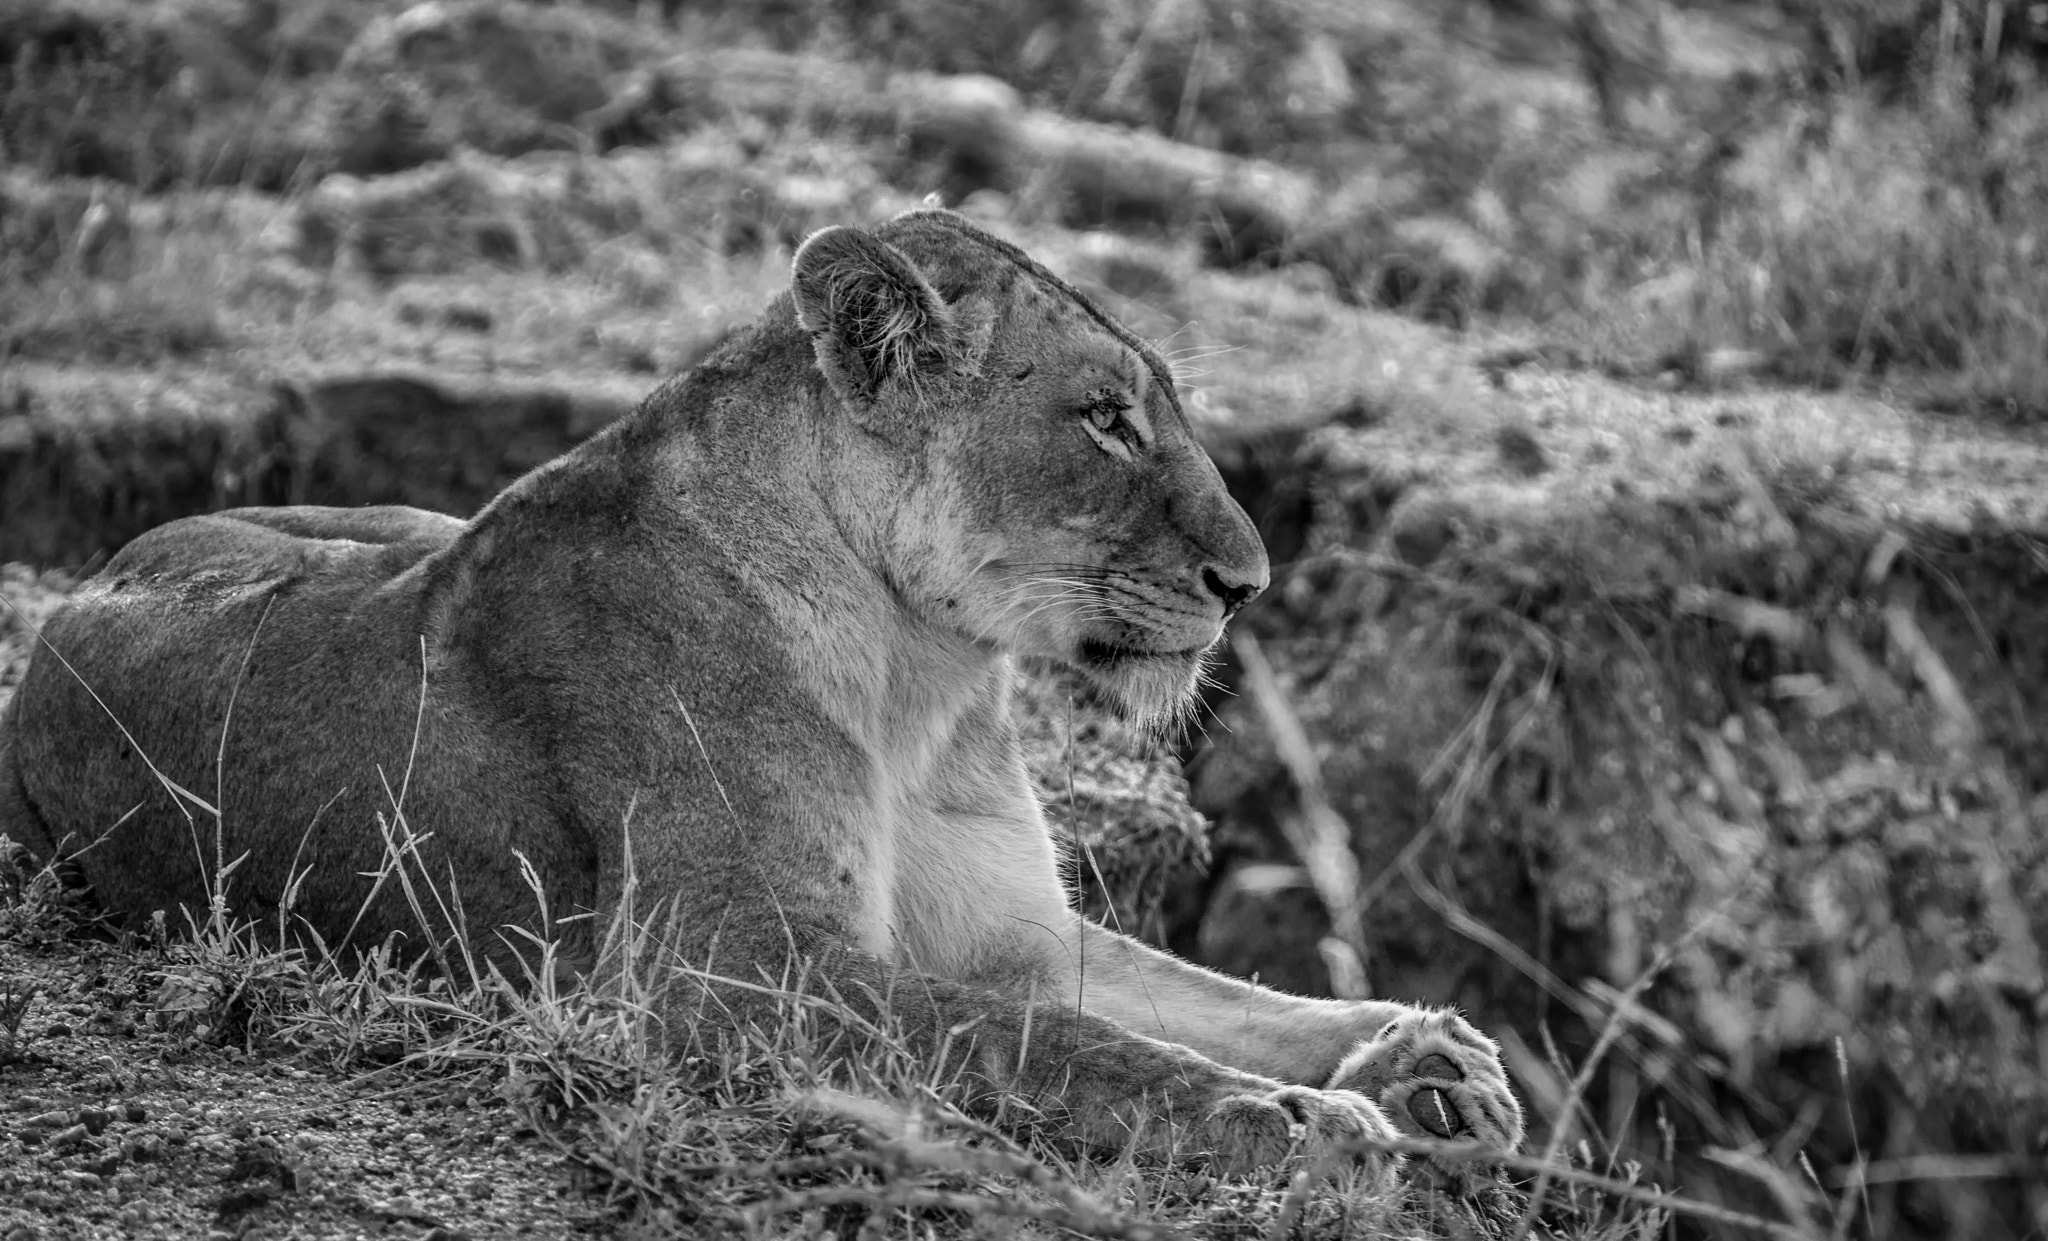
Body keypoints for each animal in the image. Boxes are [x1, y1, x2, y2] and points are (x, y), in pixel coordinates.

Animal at [0, 208, 1521, 1184]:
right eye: (1103, 418)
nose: (1249, 583)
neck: (925, 680)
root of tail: (106, 567)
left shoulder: (1008, 931)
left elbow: (1181, 993)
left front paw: (1424, 1062)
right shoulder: (718, 970)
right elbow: (1059, 1043)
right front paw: (1295, 1124)